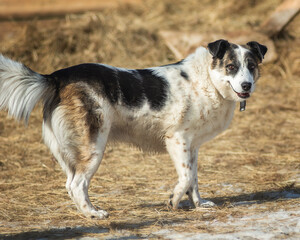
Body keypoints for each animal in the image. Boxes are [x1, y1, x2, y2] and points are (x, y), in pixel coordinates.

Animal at [0, 39, 268, 219]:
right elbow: (186, 177)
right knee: (77, 185)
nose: (247, 85)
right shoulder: (177, 140)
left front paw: (198, 204)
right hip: (93, 146)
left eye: (251, 66)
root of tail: (56, 76)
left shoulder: (192, 146)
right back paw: (93, 214)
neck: (208, 80)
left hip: (68, 151)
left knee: (70, 184)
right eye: (231, 66)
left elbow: (194, 179)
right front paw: (173, 200)